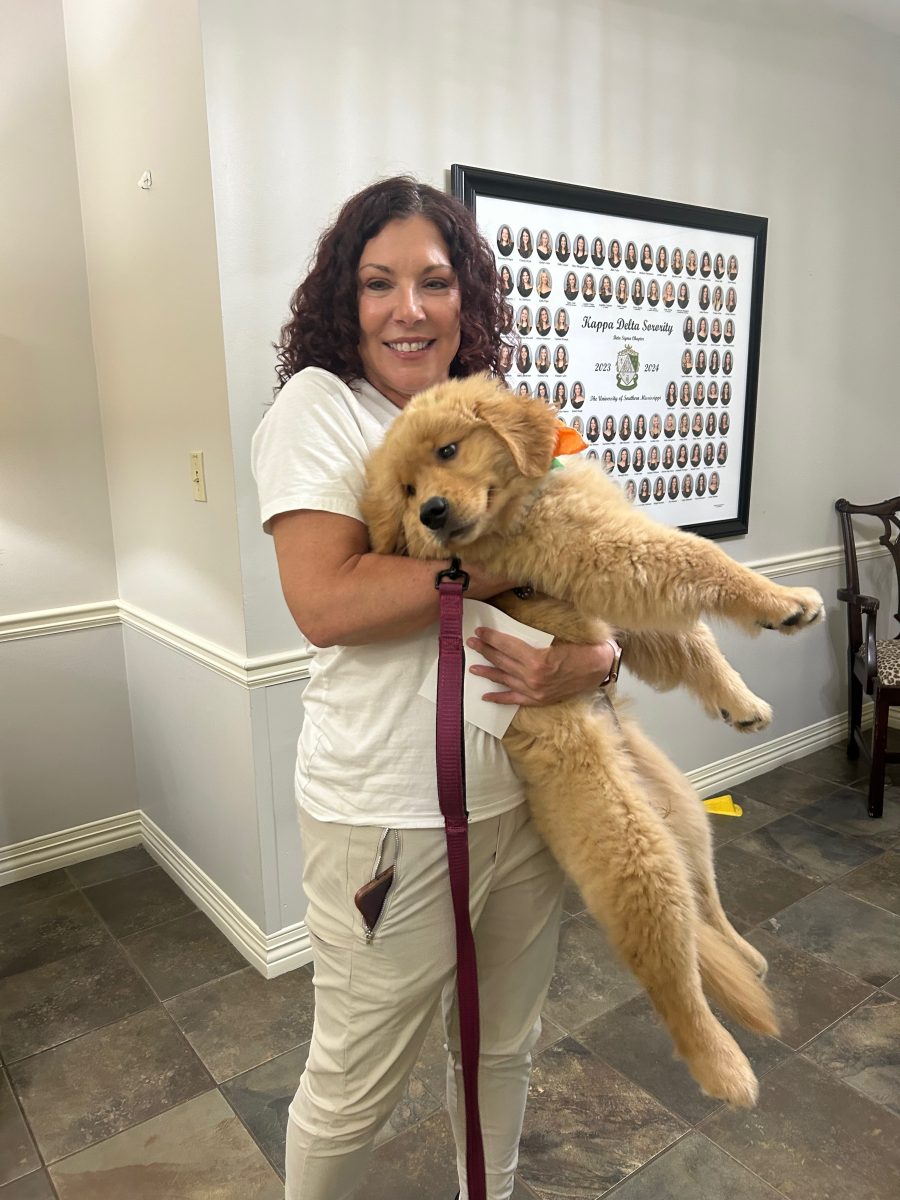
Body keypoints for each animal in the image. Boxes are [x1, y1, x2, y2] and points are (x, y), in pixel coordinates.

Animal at [362, 374, 830, 1104]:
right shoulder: (606, 556)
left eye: (448, 450)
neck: (524, 501)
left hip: (682, 812)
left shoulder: (616, 605)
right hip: (635, 856)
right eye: (407, 492)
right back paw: (724, 1068)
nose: (431, 514)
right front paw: (783, 602)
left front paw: (743, 703)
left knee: (707, 908)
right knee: (673, 972)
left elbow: (690, 641)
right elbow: (701, 557)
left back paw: (747, 956)